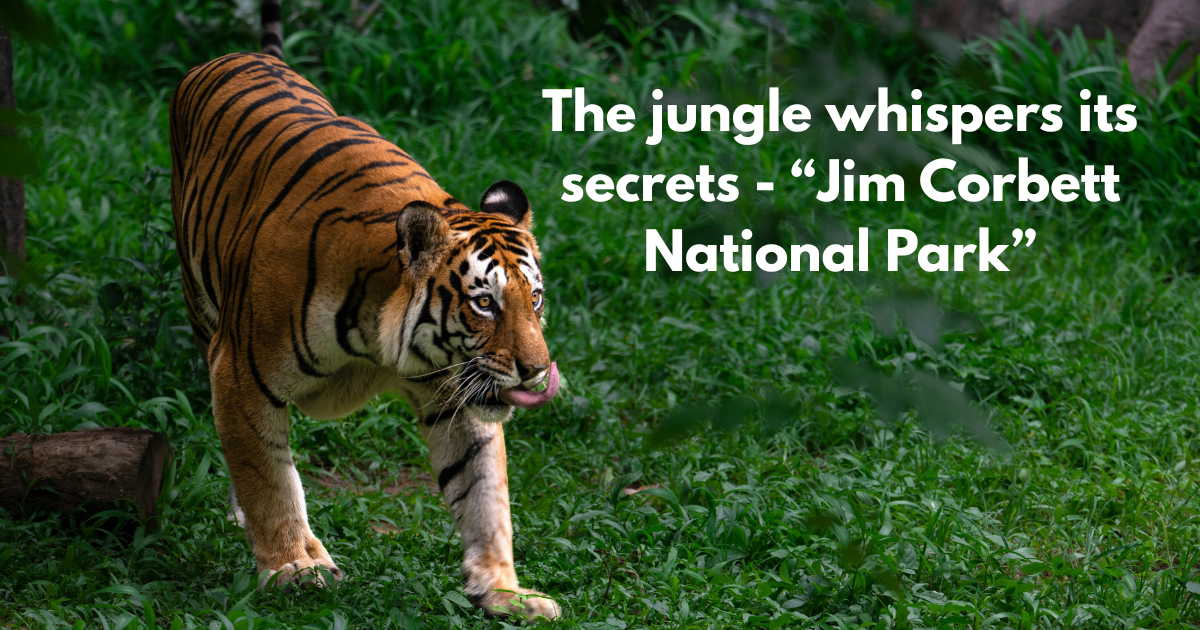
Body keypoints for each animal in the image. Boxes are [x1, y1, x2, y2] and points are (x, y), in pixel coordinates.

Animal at [167, 0, 562, 619]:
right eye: (484, 303)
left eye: (535, 298)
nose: (537, 372)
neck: (380, 342)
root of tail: (242, 55)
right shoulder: (238, 371)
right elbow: (266, 475)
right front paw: (292, 568)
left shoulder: (456, 395)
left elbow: (483, 494)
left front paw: (503, 591)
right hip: (201, 305)